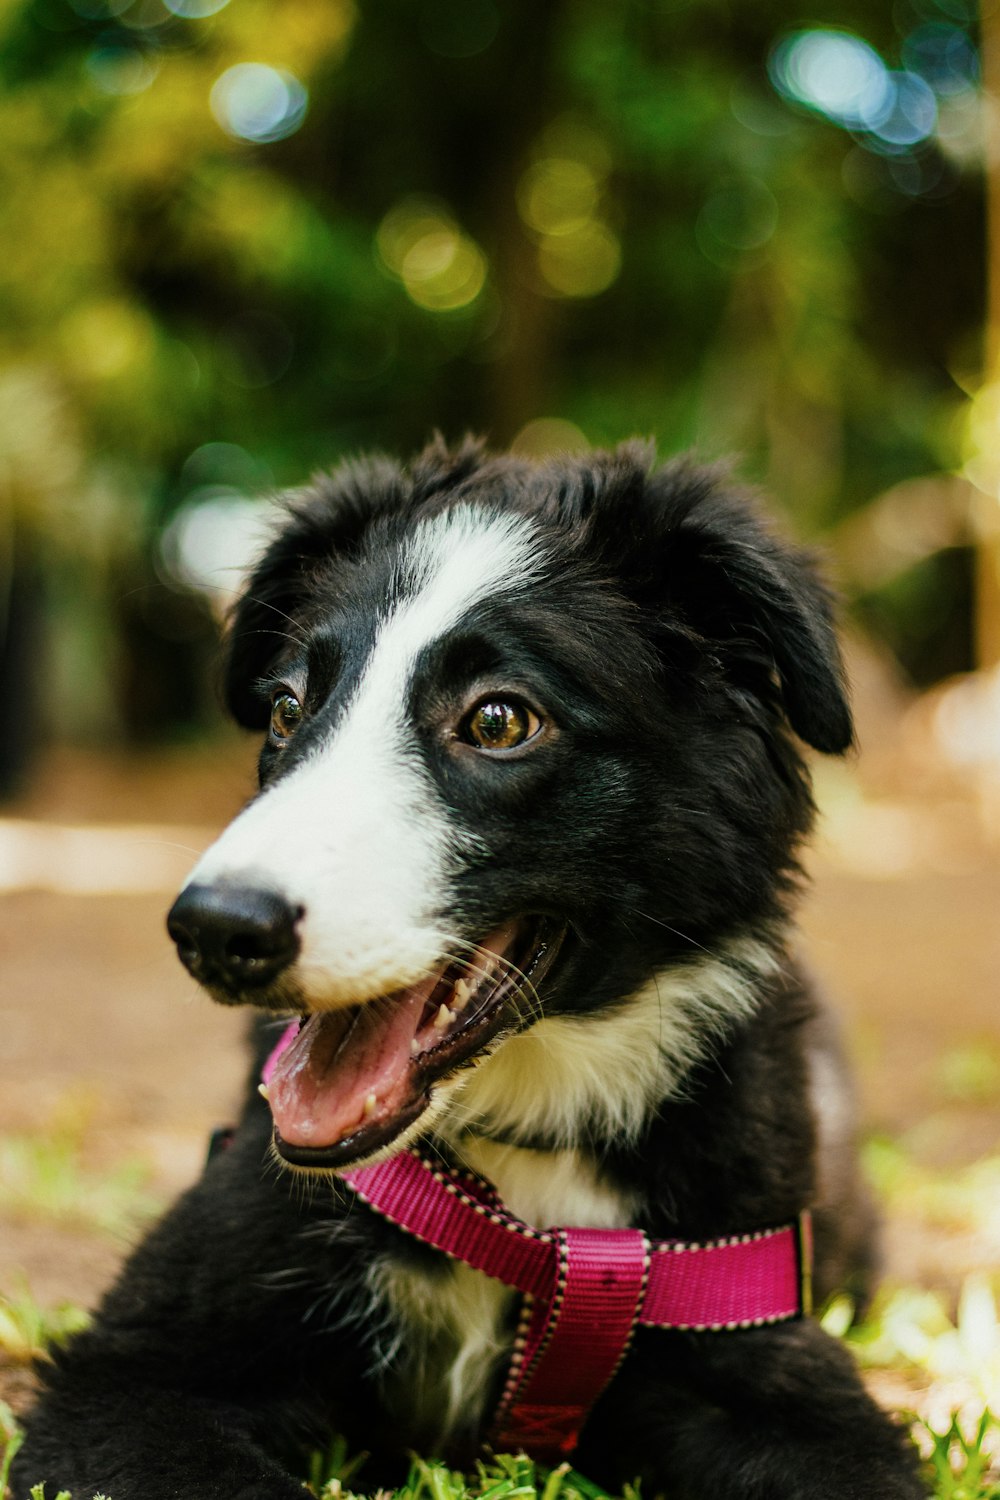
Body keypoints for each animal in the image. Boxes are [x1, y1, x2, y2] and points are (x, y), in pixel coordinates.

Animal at [11, 441, 929, 1500]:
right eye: (287, 708)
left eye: (497, 722)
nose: (214, 930)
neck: (528, 1181)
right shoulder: (137, 1370)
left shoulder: (762, 1345)